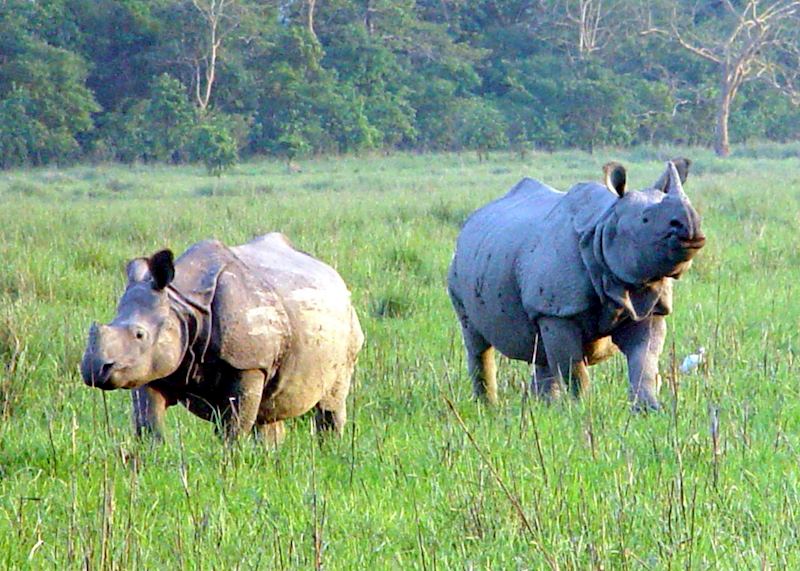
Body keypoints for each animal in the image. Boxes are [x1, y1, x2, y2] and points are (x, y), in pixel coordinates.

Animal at [80, 233, 364, 442]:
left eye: (140, 334)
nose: (95, 370)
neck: (181, 305)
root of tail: (336, 277)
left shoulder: (248, 364)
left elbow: (233, 427)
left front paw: (230, 464)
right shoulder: (148, 366)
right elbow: (147, 424)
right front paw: (151, 459)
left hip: (348, 327)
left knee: (332, 400)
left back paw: (329, 452)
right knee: (270, 409)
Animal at [447, 160, 705, 411]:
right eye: (645, 219)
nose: (691, 227)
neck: (604, 225)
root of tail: (472, 220)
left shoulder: (649, 304)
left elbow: (644, 359)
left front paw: (647, 409)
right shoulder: (558, 311)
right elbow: (573, 368)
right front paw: (583, 408)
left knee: (542, 350)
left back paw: (544, 407)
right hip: (458, 268)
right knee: (476, 340)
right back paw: (488, 407)